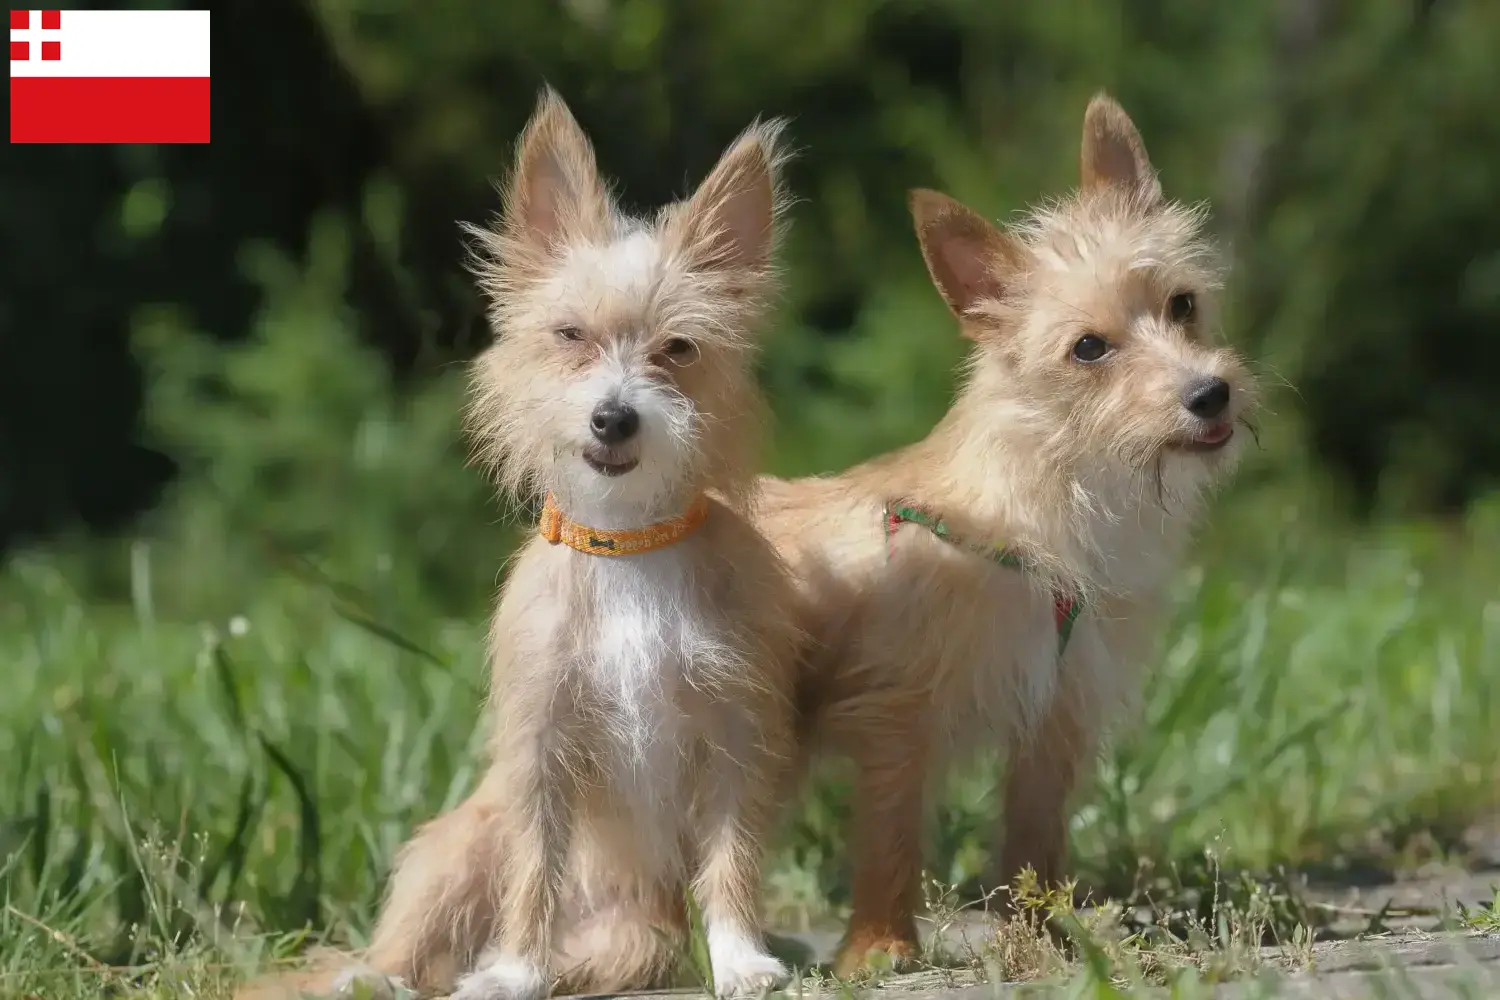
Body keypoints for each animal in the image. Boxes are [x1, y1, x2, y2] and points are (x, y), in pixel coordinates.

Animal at [312, 86, 804, 1000]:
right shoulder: (539, 750)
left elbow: (731, 858)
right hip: (457, 846)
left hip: (637, 936)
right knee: (406, 950)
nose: (614, 416)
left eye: (678, 349)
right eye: (571, 336)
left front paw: (738, 956)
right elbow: (534, 869)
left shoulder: (734, 740)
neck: (629, 543)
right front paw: (511, 971)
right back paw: (388, 978)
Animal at [756, 93, 1260, 977]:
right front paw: (881, 948)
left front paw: (1045, 939)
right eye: (1088, 348)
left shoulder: (1053, 718)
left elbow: (1033, 843)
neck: (1049, 508)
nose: (1210, 393)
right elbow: (890, 841)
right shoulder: (898, 723)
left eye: (1183, 304)